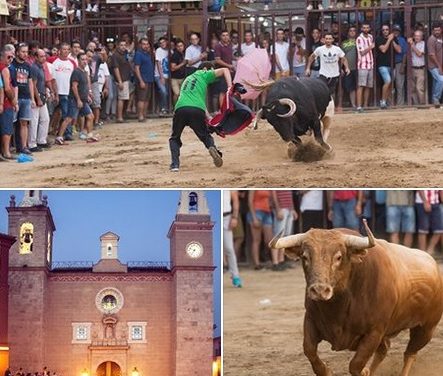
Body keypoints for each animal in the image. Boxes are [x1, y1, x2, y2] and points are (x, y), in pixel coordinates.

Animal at [268, 220, 443, 376]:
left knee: (410, 354)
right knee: (385, 350)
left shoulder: (375, 332)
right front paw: (328, 371)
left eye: (338, 257)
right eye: (305, 257)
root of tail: (434, 265)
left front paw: (364, 371)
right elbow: (309, 350)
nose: (319, 290)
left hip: (426, 329)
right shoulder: (311, 319)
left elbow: (356, 364)